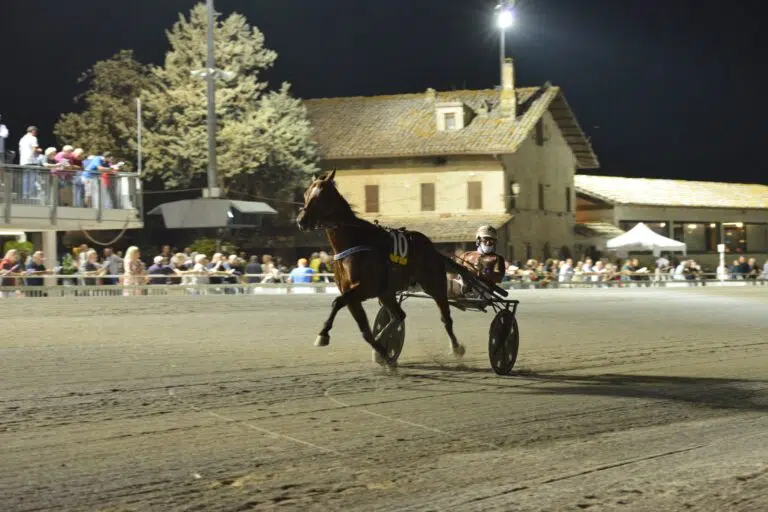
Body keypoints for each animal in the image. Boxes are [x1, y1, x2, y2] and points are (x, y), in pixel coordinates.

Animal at [294, 170, 474, 366]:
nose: (301, 221)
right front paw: (385, 354)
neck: (354, 241)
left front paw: (323, 335)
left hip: (435, 285)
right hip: (387, 293)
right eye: (305, 194)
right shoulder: (355, 295)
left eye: (321, 195)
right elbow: (365, 331)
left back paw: (457, 348)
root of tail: (434, 250)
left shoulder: (365, 289)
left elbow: (337, 302)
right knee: (399, 316)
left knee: (445, 318)